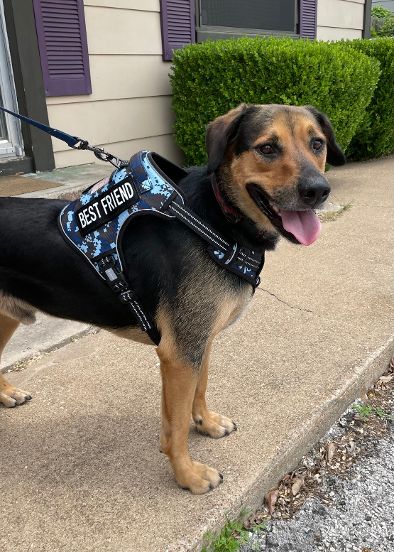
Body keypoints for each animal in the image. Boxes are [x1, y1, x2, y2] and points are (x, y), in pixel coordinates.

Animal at [0, 105, 344, 494]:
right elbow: (175, 426)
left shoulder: (199, 340)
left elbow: (200, 389)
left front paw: (206, 423)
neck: (217, 219)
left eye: (317, 143)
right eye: (267, 148)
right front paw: (188, 475)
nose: (318, 190)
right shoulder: (179, 352)